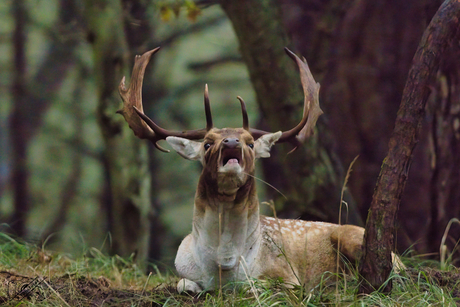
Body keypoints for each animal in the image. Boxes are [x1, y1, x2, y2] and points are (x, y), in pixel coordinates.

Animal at [117, 47, 392, 292]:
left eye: (250, 142)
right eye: (207, 143)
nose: (231, 142)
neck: (223, 267)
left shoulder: (287, 276)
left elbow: (255, 287)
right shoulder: (181, 270)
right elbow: (183, 284)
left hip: (357, 240)